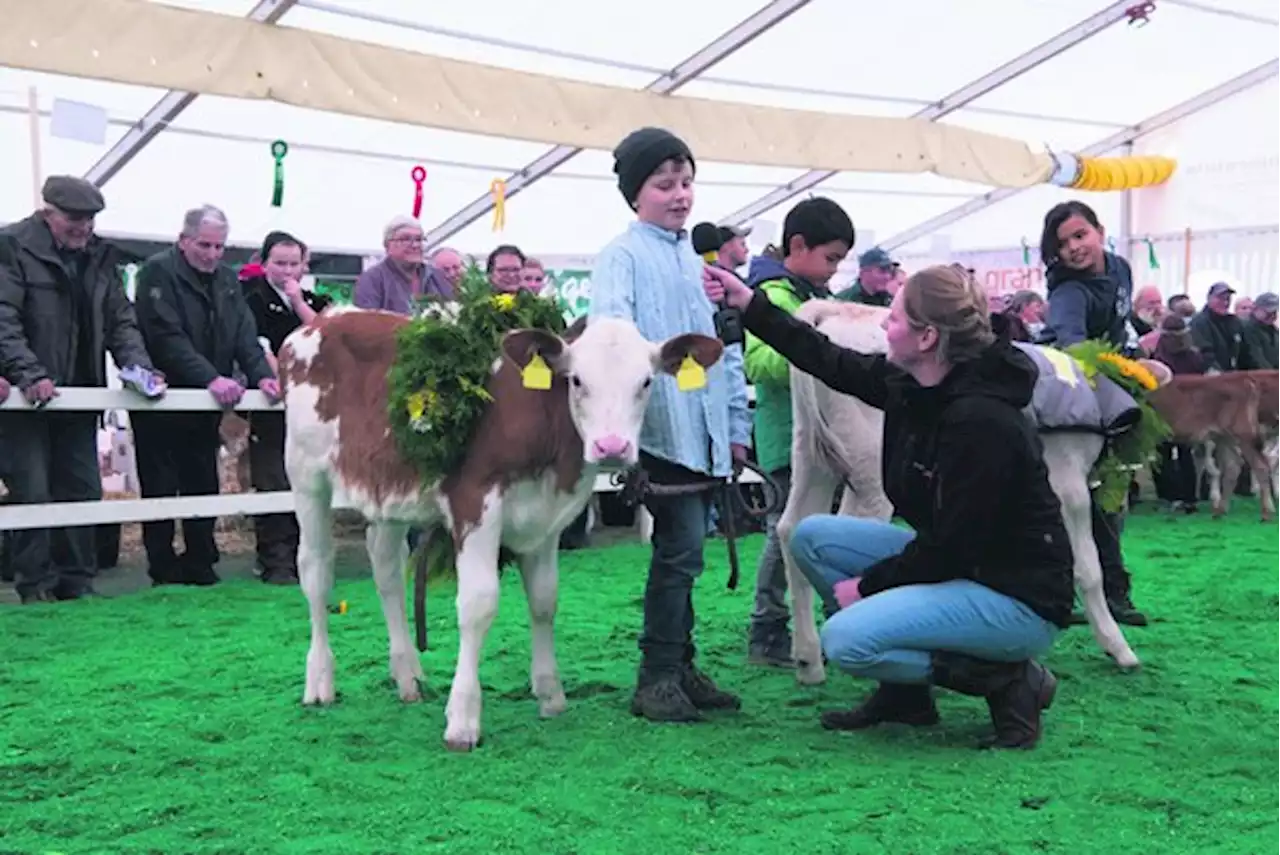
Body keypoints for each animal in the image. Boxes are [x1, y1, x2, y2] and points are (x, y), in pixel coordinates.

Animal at [279, 307, 721, 747]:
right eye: (577, 379)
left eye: (645, 382)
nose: (611, 447)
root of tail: (325, 319)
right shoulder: (474, 504)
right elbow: (478, 605)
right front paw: (462, 719)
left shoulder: (547, 521)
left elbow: (544, 601)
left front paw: (550, 695)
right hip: (305, 475)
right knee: (316, 570)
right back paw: (319, 681)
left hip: (387, 492)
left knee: (386, 569)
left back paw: (408, 676)